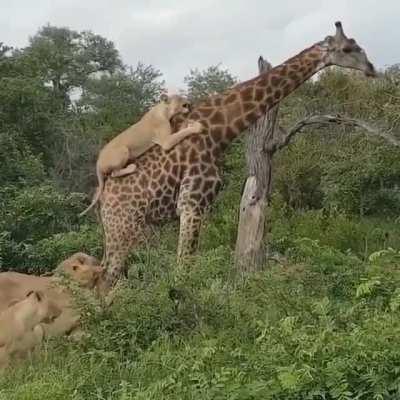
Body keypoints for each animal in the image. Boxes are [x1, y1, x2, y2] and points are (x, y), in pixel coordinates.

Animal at [79, 21, 376, 288]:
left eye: (357, 45)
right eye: (348, 48)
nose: (371, 69)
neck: (221, 131)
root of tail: (103, 195)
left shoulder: (198, 206)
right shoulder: (192, 203)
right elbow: (183, 269)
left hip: (115, 229)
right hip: (124, 227)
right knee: (107, 278)